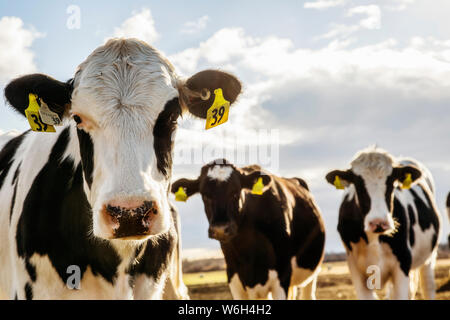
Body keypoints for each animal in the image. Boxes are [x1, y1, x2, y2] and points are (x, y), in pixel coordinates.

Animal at [171, 160, 324, 300]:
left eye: (235, 192)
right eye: (204, 195)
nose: (220, 229)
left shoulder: (282, 277)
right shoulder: (234, 278)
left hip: (312, 271)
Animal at [326, 148, 442, 300]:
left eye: (392, 182)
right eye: (358, 184)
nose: (378, 222)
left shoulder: (403, 262)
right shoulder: (355, 268)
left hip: (429, 258)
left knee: (428, 286)